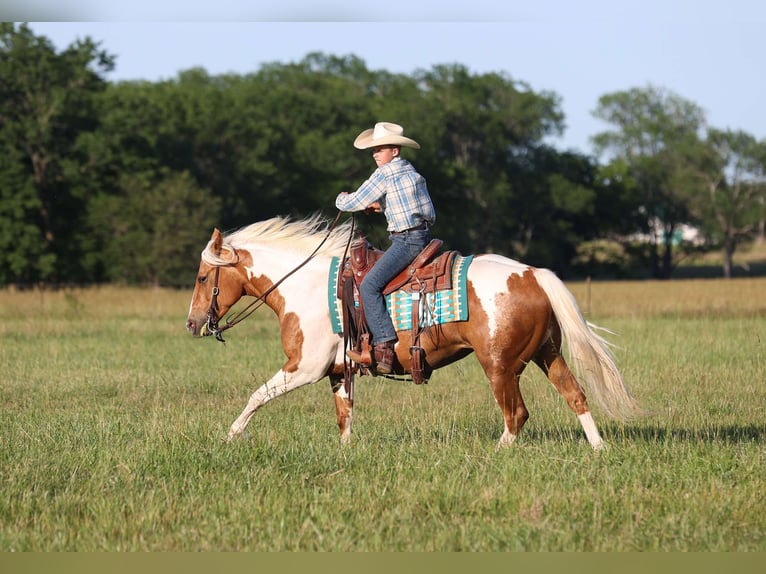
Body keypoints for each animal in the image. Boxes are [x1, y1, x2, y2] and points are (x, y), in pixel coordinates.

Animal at [185, 214, 641, 450]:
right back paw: (598, 448)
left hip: (499, 365)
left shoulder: (304, 366)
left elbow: (257, 395)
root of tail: (532, 273)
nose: (191, 323)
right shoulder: (339, 372)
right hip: (548, 354)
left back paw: (498, 452)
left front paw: (230, 436)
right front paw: (346, 453)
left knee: (516, 414)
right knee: (575, 395)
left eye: (204, 276)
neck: (306, 285)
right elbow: (345, 417)